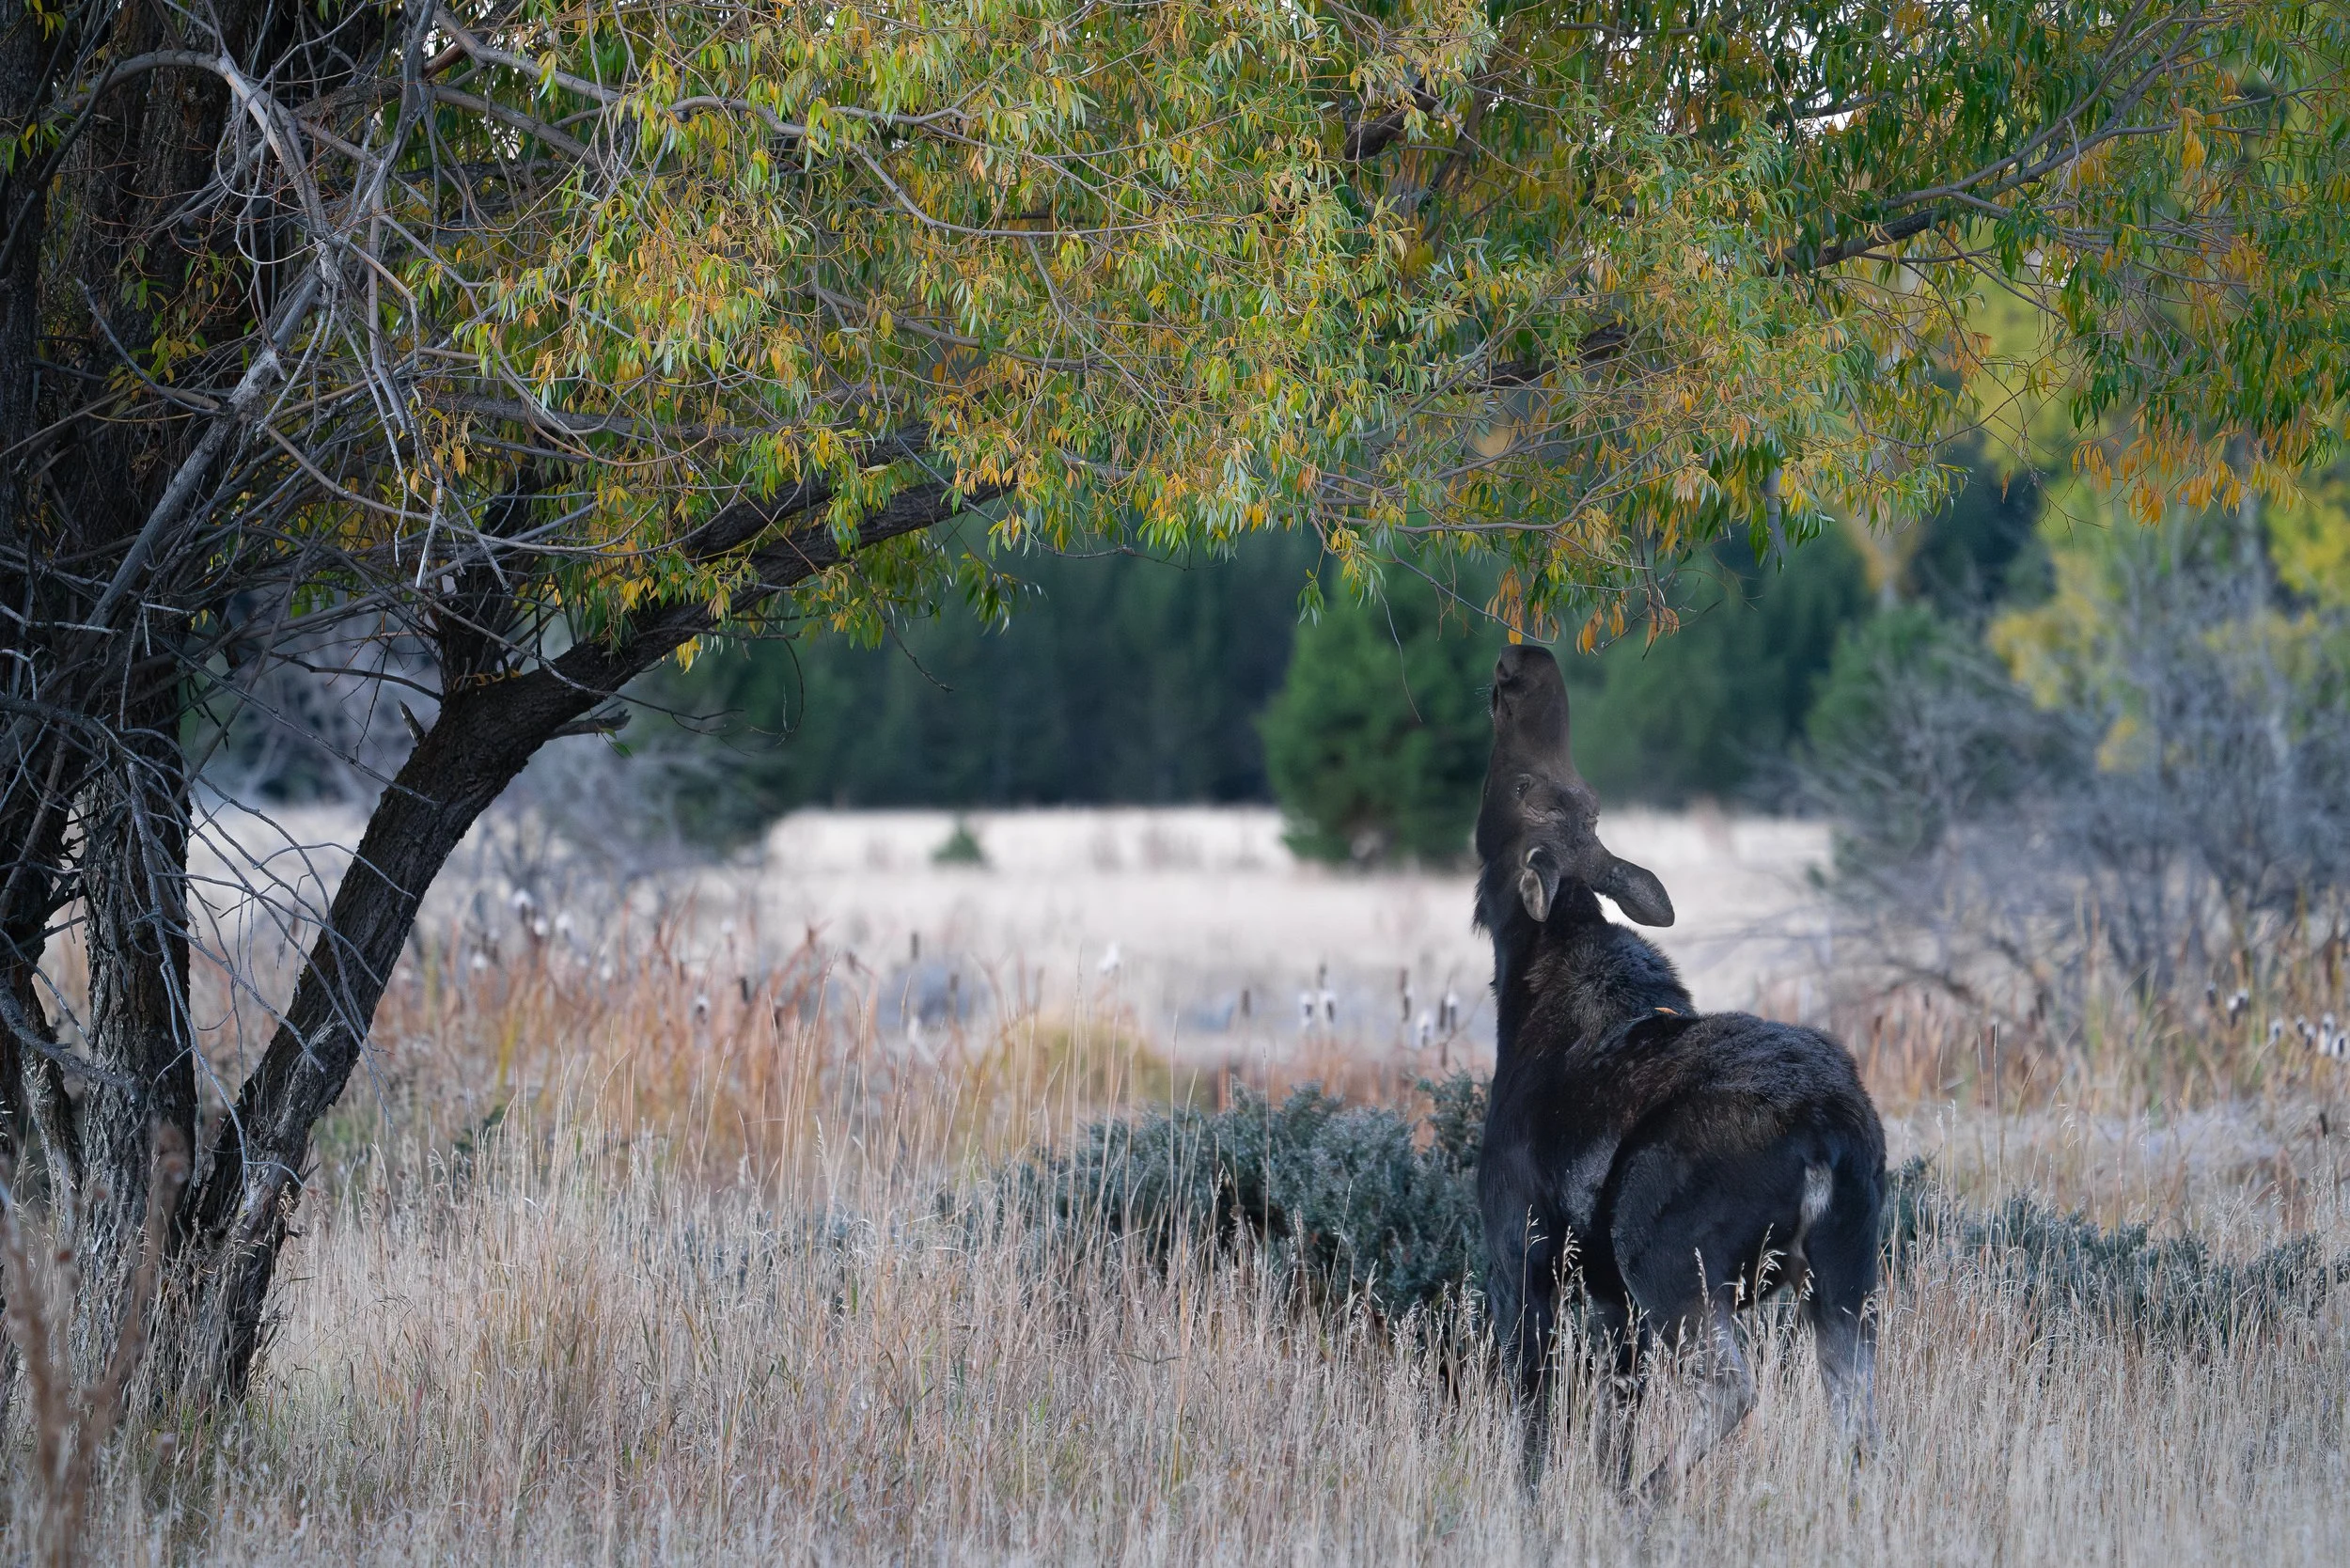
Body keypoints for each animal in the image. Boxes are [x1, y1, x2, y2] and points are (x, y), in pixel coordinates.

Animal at [1474, 643, 1885, 1498]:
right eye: (1580, 800)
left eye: (1525, 790)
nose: (1525, 661)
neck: (1520, 991)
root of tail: (1829, 1138)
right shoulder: (1610, 1299)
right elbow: (1612, 1419)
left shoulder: (1520, 1250)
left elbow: (1531, 1422)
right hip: (1846, 1269)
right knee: (1860, 1417)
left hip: (1665, 1253)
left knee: (1733, 1387)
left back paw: (1652, 1493)